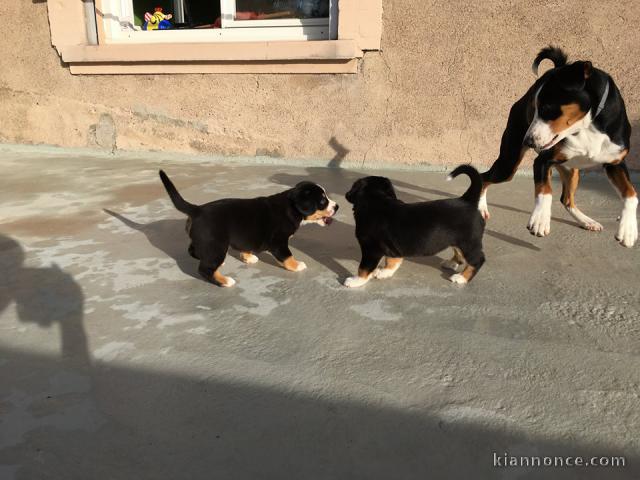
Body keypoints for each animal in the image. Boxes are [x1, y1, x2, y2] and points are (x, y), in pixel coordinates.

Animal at [159, 171, 340, 286]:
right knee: (205, 269)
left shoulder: (247, 237)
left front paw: (248, 257)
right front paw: (296, 266)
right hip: (216, 244)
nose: (337, 206)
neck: (290, 208)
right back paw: (224, 281)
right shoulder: (279, 242)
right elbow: (287, 256)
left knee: (193, 251)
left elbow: (246, 246)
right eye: (323, 201)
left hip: (204, 241)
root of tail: (197, 209)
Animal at [344, 165, 484, 286]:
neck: (376, 200)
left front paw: (355, 281)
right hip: (458, 240)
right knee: (459, 253)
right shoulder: (391, 246)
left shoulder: (371, 249)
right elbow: (392, 259)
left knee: (478, 260)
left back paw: (461, 277)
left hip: (468, 242)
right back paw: (451, 263)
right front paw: (385, 272)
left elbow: (363, 268)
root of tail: (467, 200)